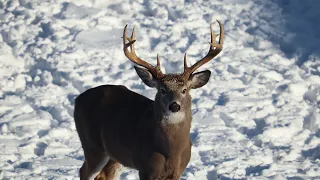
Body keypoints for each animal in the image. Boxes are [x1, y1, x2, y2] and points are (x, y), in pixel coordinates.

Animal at [74, 20, 225, 179]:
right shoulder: (146, 168)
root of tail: (78, 99)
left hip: (116, 155)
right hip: (92, 144)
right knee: (84, 171)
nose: (174, 106)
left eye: (184, 90)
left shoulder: (177, 171)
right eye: (162, 90)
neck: (171, 151)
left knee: (104, 175)